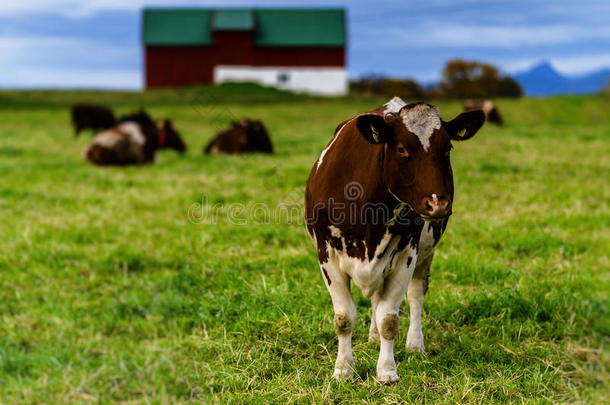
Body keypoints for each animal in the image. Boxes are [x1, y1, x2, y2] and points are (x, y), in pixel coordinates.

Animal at [302, 97, 482, 382]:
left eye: (448, 148)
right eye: (401, 149)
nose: (438, 204)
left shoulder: (406, 254)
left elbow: (389, 318)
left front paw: (387, 371)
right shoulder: (327, 254)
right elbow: (344, 317)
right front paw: (343, 369)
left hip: (425, 253)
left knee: (416, 294)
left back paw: (415, 344)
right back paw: (373, 337)